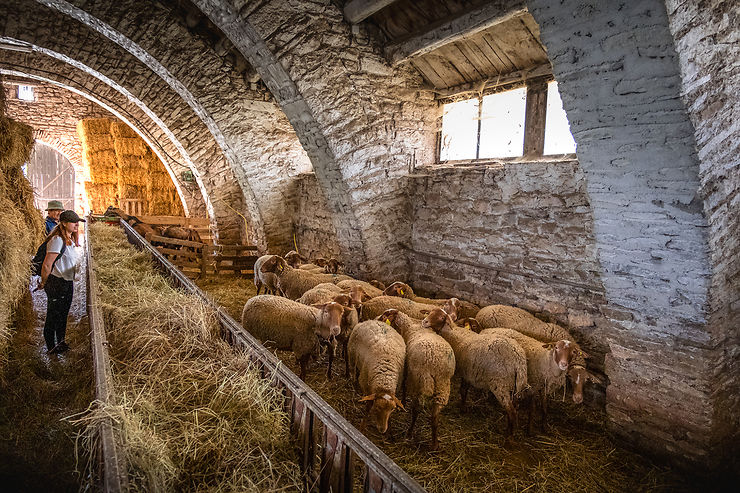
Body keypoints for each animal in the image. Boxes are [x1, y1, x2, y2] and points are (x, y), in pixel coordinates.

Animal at [378, 310, 454, 452]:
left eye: (385, 314)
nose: (377, 319)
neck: (410, 325)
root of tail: (436, 365)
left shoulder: (407, 366)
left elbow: (403, 384)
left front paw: (402, 401)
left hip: (420, 381)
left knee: (416, 409)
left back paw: (409, 433)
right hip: (442, 388)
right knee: (435, 417)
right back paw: (434, 445)